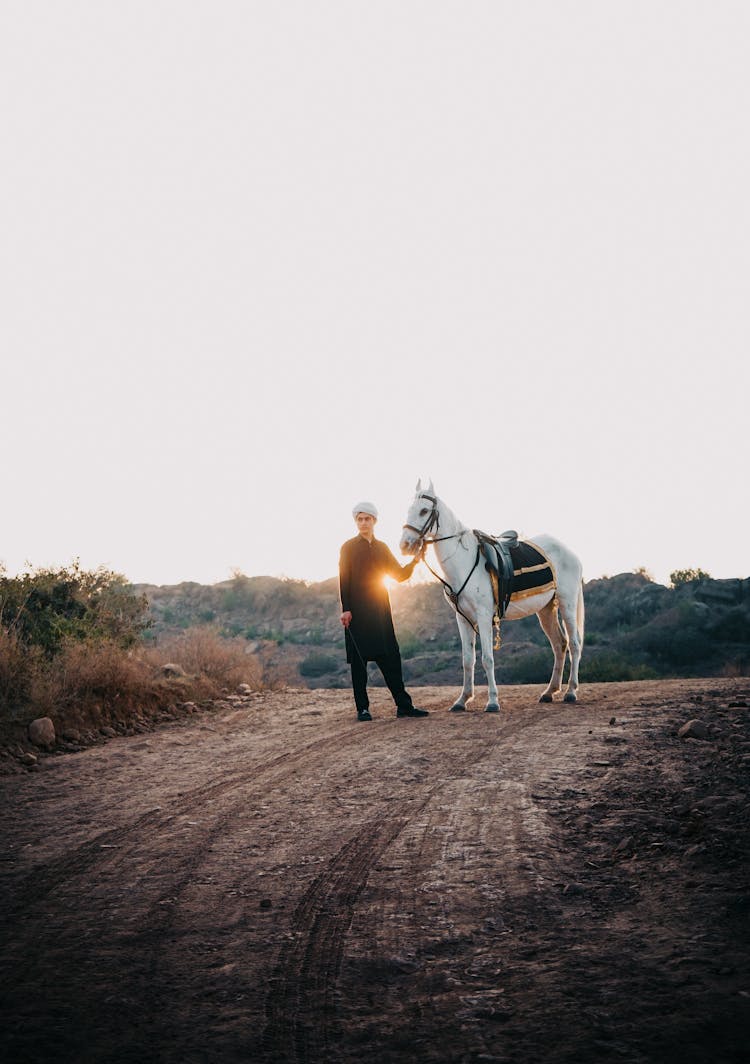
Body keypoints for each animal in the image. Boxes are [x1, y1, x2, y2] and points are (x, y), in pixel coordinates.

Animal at [397, 483, 587, 715]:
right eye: (409, 509)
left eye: (424, 510)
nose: (405, 545)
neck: (464, 561)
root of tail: (569, 551)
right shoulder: (462, 619)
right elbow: (468, 660)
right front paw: (462, 700)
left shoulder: (484, 616)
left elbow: (487, 659)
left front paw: (493, 701)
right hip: (546, 610)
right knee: (559, 644)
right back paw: (549, 692)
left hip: (567, 603)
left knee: (575, 644)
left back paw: (571, 692)